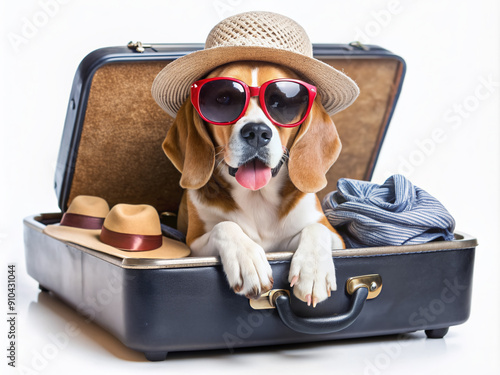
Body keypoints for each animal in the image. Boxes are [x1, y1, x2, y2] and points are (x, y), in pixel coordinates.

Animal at [164, 62, 344, 308]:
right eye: (224, 99)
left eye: (279, 102)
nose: (257, 132)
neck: (258, 196)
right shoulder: (194, 247)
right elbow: (226, 226)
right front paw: (246, 258)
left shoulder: (338, 239)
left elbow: (317, 228)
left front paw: (313, 271)